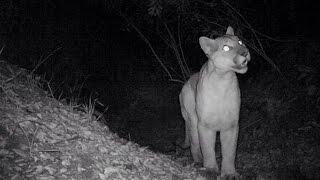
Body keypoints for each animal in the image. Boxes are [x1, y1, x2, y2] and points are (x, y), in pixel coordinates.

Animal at [180, 26, 250, 179]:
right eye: (226, 48)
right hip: (192, 118)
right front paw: (210, 169)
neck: (223, 80)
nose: (245, 52)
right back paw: (198, 161)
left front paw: (229, 173)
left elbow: (230, 151)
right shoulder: (205, 124)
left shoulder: (231, 124)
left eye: (240, 42)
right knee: (194, 142)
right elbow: (207, 148)